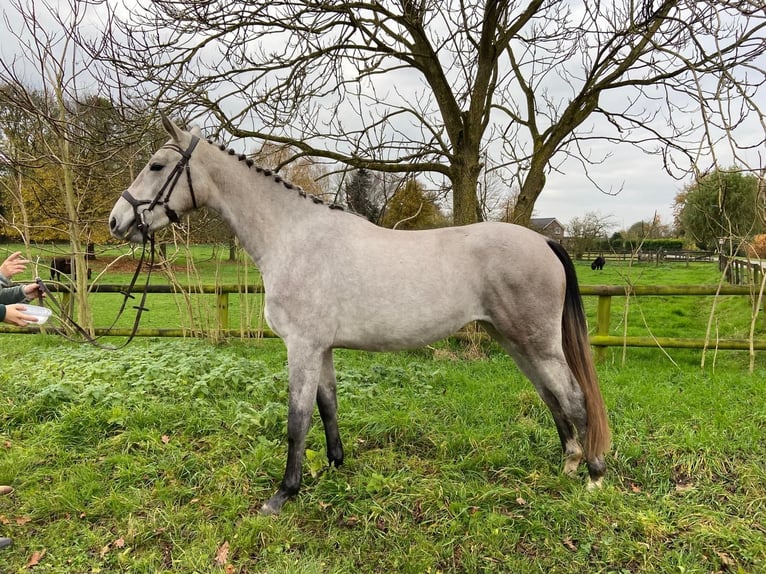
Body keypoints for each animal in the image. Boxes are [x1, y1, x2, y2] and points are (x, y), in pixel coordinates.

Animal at [108, 117, 612, 516]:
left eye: (156, 166)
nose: (117, 221)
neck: (293, 238)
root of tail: (543, 239)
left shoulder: (302, 346)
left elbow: (297, 419)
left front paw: (283, 494)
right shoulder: (322, 348)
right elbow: (328, 406)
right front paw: (335, 465)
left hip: (538, 343)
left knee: (574, 397)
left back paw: (593, 476)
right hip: (515, 341)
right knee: (552, 397)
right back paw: (569, 463)